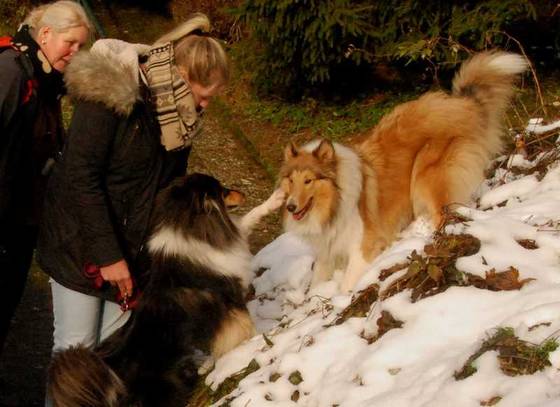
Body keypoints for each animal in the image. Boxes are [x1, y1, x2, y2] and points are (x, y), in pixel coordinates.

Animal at [47, 173, 284, 407]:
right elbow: (246, 328)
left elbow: (248, 219)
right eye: (222, 191)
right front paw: (258, 342)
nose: (243, 195)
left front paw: (277, 198)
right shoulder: (230, 302)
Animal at [280, 51, 528, 293]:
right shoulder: (327, 254)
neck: (334, 203)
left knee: (445, 216)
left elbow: (346, 287)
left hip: (425, 177)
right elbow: (315, 287)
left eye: (308, 180)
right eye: (290, 180)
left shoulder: (363, 247)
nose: (290, 206)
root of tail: (459, 105)